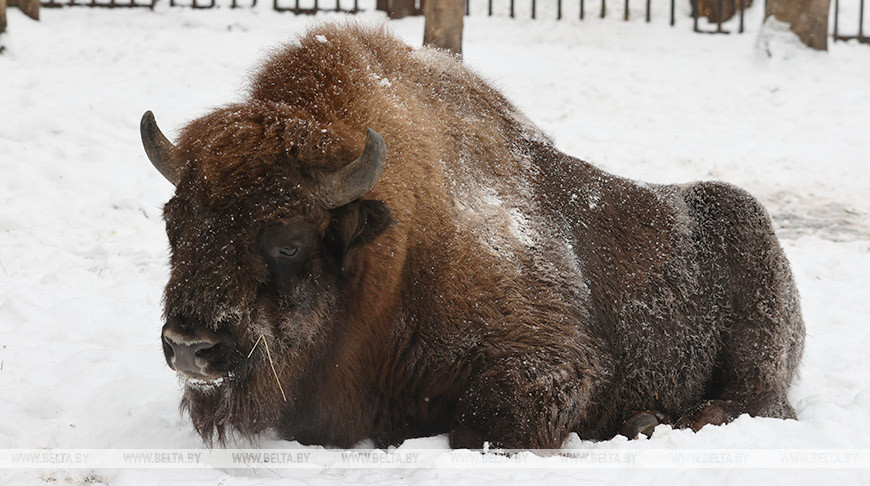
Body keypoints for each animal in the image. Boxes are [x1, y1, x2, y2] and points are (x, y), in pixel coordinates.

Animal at [141, 22, 804, 448]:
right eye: (176, 224)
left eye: (288, 241)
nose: (191, 346)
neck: (394, 251)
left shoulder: (552, 362)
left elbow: (476, 423)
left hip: (755, 349)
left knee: (759, 405)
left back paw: (651, 422)